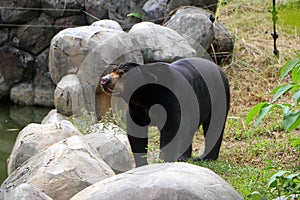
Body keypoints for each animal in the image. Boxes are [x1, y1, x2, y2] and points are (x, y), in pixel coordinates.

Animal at [101, 57, 230, 166]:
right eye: (113, 71)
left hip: (218, 96)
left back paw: (204, 157)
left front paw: (163, 161)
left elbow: (171, 130)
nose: (104, 80)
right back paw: (184, 157)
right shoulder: (137, 109)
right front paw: (142, 164)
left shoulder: (171, 101)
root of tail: (219, 68)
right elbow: (137, 134)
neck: (143, 97)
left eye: (121, 73)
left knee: (215, 125)